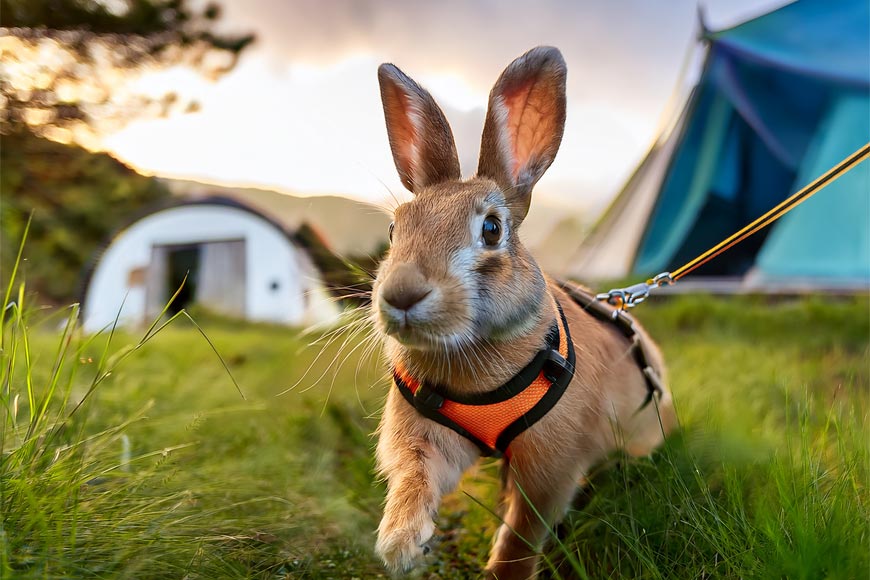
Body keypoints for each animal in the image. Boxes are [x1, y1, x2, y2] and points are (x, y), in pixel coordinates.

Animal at [371, 46, 677, 579]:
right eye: (395, 228)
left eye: (492, 229)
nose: (402, 294)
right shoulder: (426, 437)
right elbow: (416, 477)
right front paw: (400, 544)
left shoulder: (552, 465)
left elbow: (522, 534)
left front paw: (499, 573)